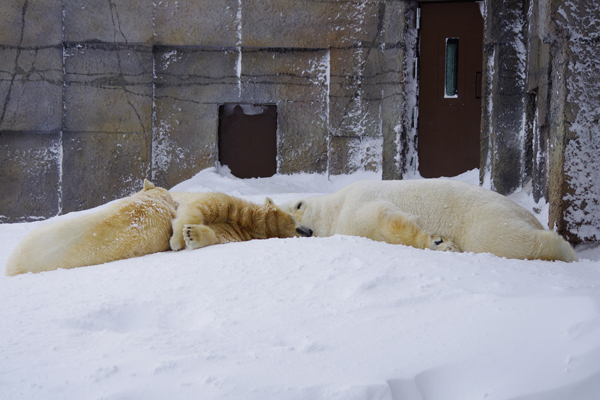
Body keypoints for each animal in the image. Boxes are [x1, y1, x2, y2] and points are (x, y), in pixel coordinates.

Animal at [168, 191, 312, 250]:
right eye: (293, 217)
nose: (310, 230)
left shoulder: (234, 230)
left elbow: (217, 235)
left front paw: (191, 234)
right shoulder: (227, 204)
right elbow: (196, 208)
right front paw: (176, 242)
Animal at [278, 179, 580, 262]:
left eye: (289, 215)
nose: (303, 232)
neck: (335, 208)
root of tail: (526, 213)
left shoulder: (357, 202)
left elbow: (384, 216)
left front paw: (439, 241)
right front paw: (440, 243)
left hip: (486, 220)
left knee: (508, 241)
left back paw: (566, 249)